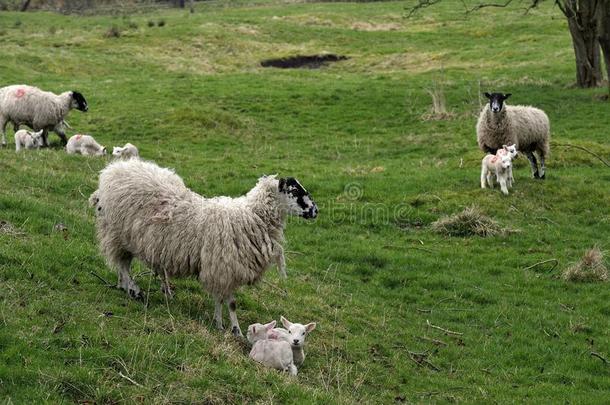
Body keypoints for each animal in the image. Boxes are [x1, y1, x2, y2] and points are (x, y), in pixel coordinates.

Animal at [91, 159, 318, 336]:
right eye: (295, 191)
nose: (315, 211)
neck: (249, 217)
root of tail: (113, 169)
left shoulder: (223, 269)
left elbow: (221, 299)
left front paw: (220, 323)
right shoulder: (223, 267)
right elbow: (229, 302)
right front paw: (232, 328)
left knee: (123, 264)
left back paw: (129, 287)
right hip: (117, 233)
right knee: (122, 264)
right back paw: (134, 290)